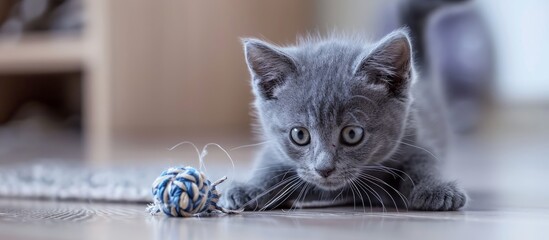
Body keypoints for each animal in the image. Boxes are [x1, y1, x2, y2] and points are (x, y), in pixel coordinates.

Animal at [220, 29, 464, 211]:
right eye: (299, 134)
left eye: (352, 134)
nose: (324, 169)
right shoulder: (275, 149)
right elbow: (268, 166)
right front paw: (248, 189)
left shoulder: (414, 136)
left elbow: (423, 162)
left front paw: (435, 190)